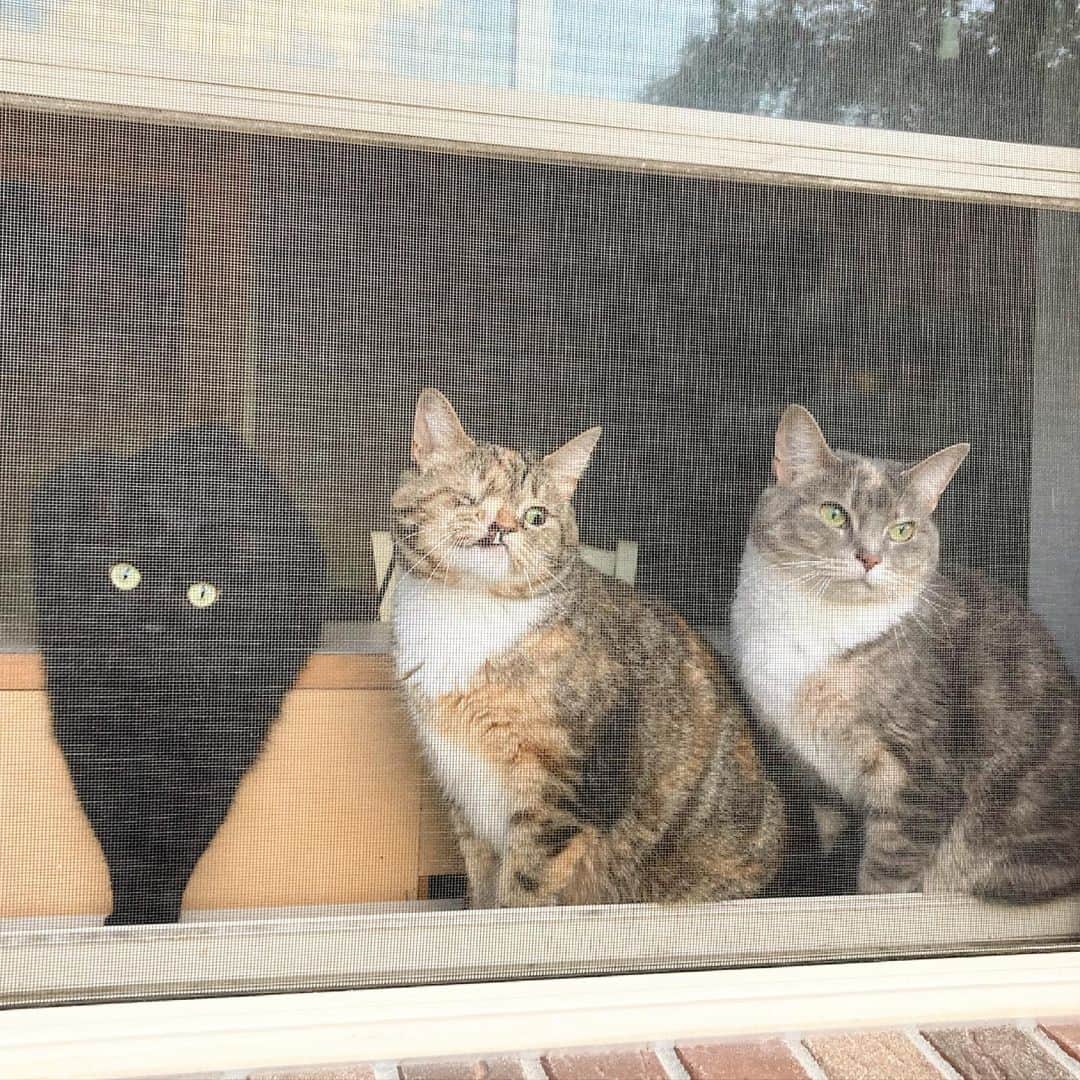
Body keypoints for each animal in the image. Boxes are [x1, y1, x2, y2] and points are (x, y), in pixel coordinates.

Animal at [393, 393, 781, 907]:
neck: (467, 610)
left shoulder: (564, 787)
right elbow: (481, 880)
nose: (501, 526)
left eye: (536, 515)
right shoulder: (457, 780)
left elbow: (524, 885)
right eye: (469, 497)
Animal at [730, 401, 1080, 898]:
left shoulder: (919, 773)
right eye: (834, 513)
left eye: (902, 529)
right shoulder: (818, 783)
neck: (818, 628)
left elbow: (886, 874)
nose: (870, 558)